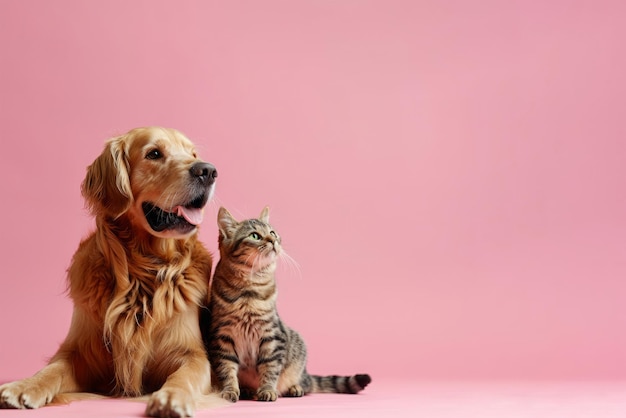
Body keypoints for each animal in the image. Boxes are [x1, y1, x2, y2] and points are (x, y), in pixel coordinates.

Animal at [0, 125, 217, 416]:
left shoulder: (192, 353)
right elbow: (51, 369)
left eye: (193, 154)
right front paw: (24, 385)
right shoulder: (80, 351)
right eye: (154, 154)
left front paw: (173, 397)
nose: (208, 171)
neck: (142, 269)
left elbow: (184, 375)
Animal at [205, 207, 370, 402]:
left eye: (272, 232)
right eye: (255, 236)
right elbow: (227, 370)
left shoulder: (272, 336)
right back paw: (247, 390)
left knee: (306, 384)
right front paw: (230, 390)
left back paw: (294, 388)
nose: (273, 240)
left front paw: (267, 390)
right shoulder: (222, 337)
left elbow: (270, 369)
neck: (249, 292)